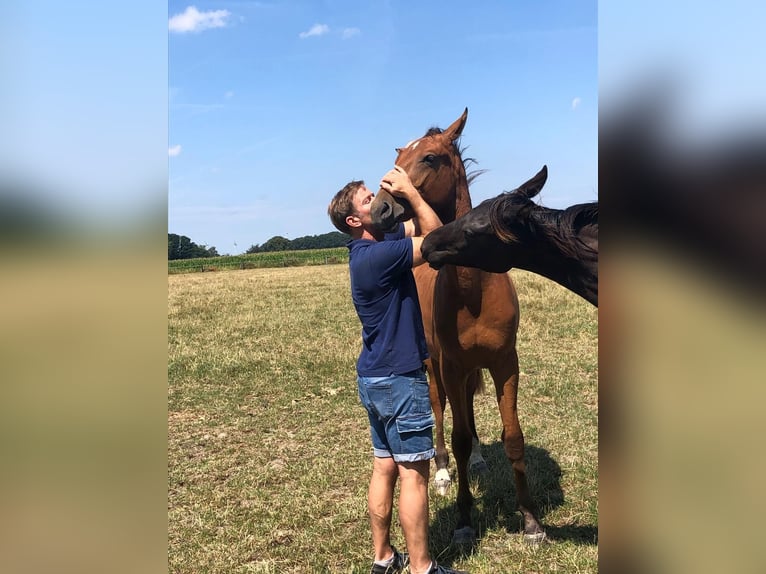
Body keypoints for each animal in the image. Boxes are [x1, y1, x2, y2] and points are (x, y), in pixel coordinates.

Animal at [370, 110, 544, 548]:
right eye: (398, 157)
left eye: (429, 158)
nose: (380, 208)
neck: (474, 287)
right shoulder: (450, 365)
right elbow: (458, 437)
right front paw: (465, 520)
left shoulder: (505, 363)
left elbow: (512, 437)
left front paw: (531, 521)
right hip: (436, 369)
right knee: (441, 412)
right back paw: (444, 472)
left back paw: (480, 460)